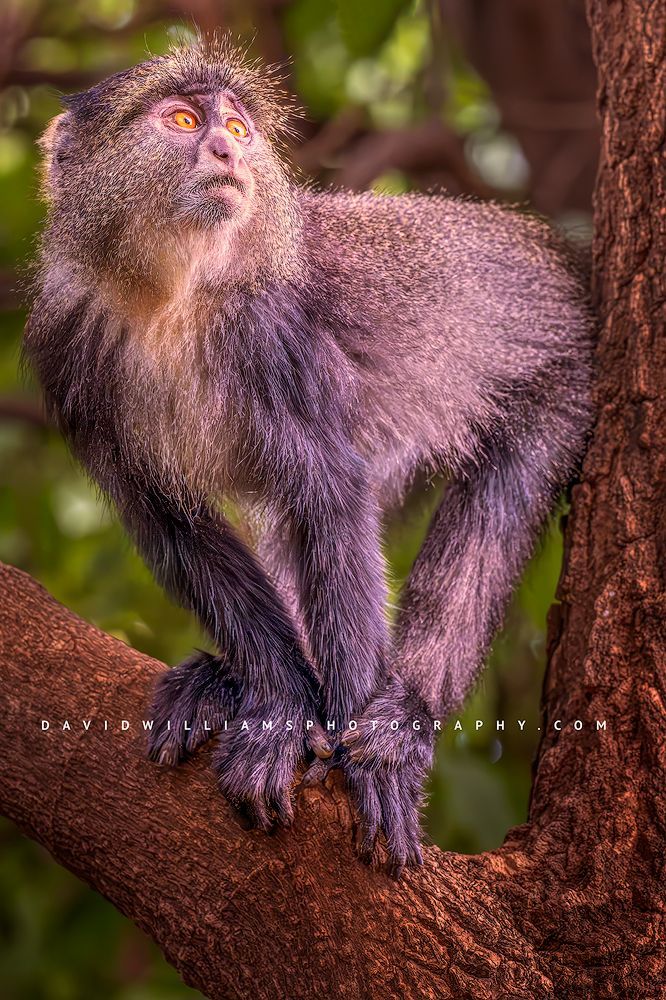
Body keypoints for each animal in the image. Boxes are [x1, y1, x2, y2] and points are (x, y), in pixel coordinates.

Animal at [24, 36, 594, 876]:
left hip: (563, 383)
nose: (227, 149)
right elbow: (174, 524)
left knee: (490, 516)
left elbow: (327, 493)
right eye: (183, 120)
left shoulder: (273, 337)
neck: (169, 299)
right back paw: (224, 682)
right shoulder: (68, 346)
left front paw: (353, 758)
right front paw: (275, 702)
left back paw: (399, 721)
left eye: (237, 127)